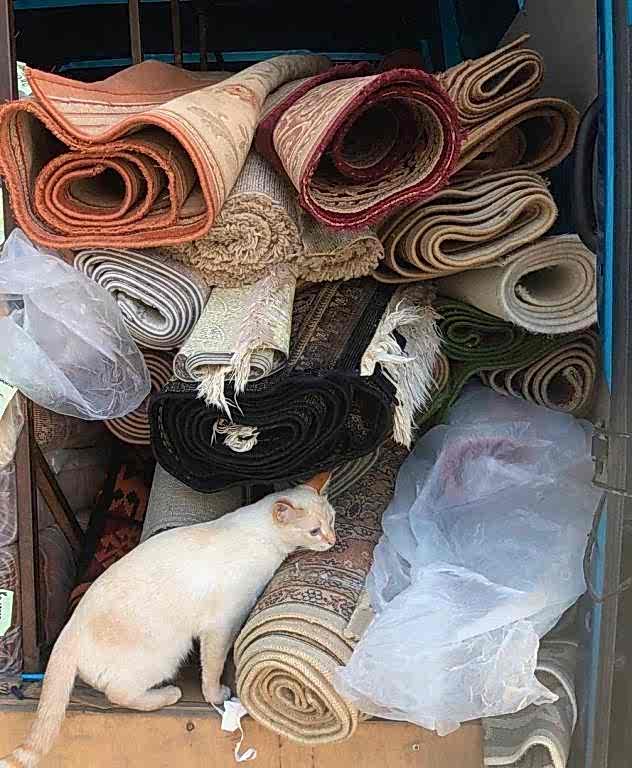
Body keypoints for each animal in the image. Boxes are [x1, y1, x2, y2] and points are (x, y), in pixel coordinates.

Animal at [0, 472, 335, 768]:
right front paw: (218, 694)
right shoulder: (221, 625)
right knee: (118, 694)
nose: (333, 541)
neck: (263, 537)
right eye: (314, 532)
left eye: (331, 521)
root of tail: (67, 631)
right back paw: (168, 694)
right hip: (168, 653)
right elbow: (212, 670)